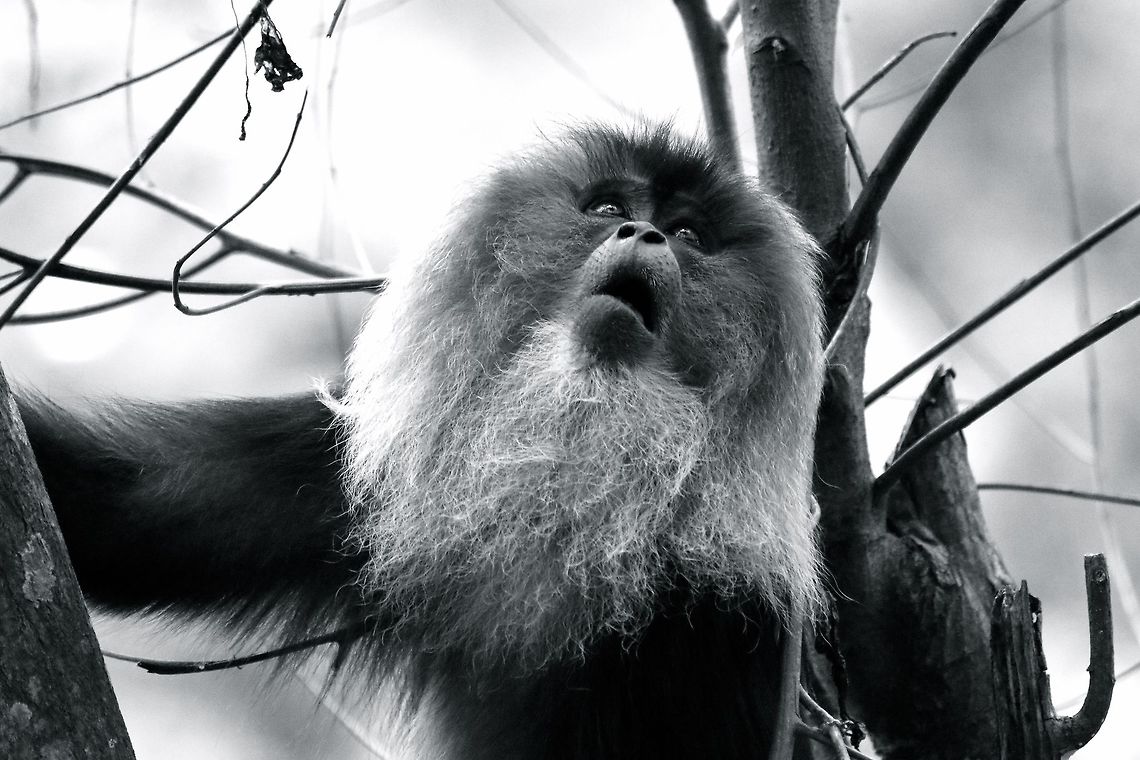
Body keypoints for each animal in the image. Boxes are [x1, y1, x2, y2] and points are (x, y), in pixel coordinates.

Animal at [18, 123, 825, 760]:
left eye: (689, 236)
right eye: (608, 210)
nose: (648, 234)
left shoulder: (737, 604)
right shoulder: (353, 472)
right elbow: (125, 514)